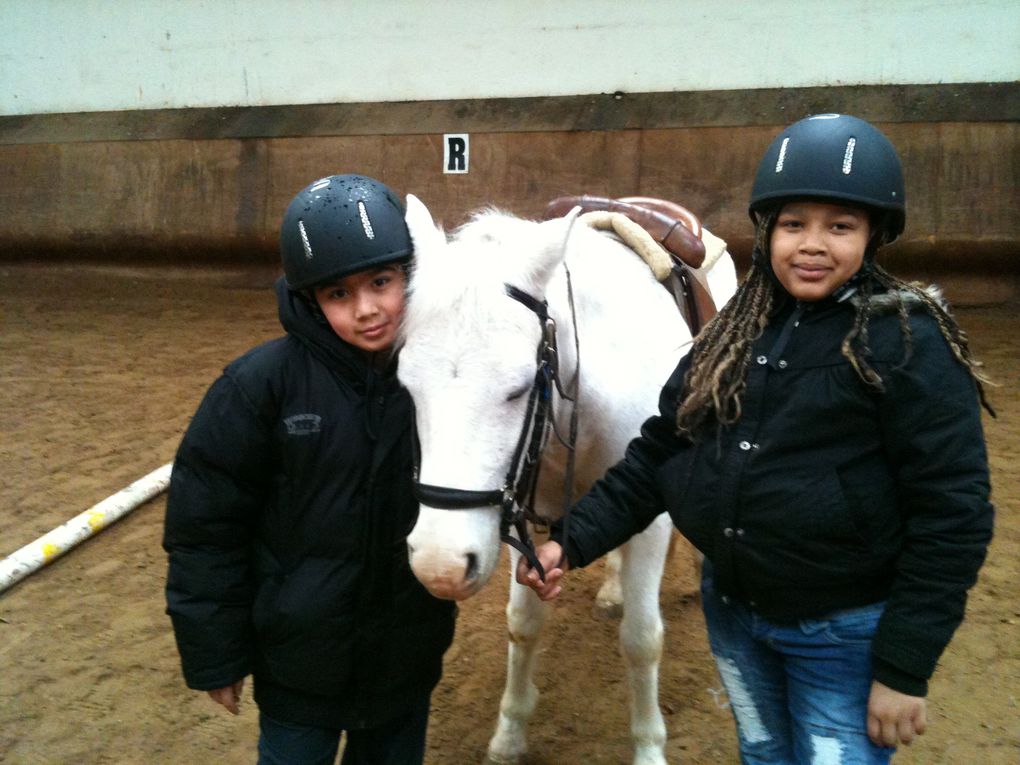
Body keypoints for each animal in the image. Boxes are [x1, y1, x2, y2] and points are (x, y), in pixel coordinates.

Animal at [393, 197, 738, 765]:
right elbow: (523, 624)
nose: (440, 567)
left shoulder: (650, 522)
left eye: (517, 389)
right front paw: (510, 734)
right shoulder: (524, 515)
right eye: (408, 386)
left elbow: (642, 640)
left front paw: (648, 748)